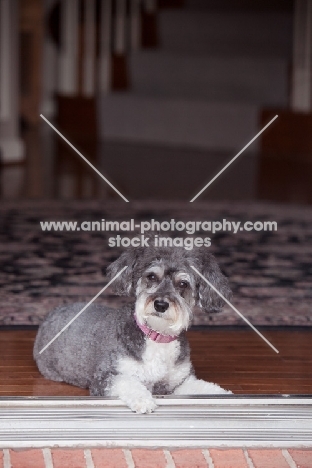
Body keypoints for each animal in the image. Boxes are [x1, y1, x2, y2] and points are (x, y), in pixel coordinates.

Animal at [33, 245, 232, 414]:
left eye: (183, 284)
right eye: (151, 277)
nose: (160, 304)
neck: (156, 336)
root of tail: (53, 312)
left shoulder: (179, 382)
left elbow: (202, 387)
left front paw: (223, 395)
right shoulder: (105, 378)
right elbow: (128, 382)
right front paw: (143, 400)